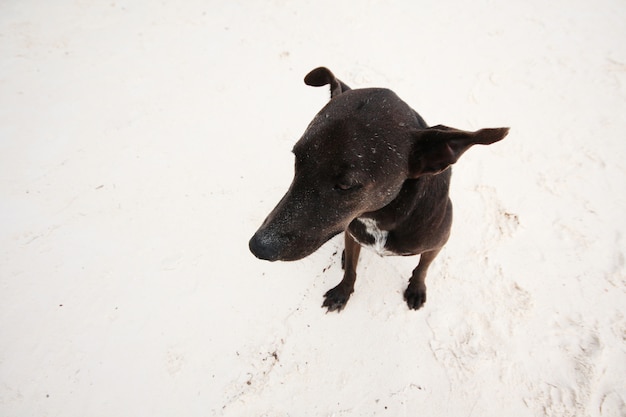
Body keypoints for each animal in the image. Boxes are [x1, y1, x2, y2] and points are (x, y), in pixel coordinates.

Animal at [246, 66, 504, 310]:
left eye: (345, 184)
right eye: (297, 158)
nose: (258, 247)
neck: (380, 218)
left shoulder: (436, 246)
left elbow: (422, 268)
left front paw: (416, 288)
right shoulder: (353, 235)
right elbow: (351, 269)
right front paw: (342, 292)